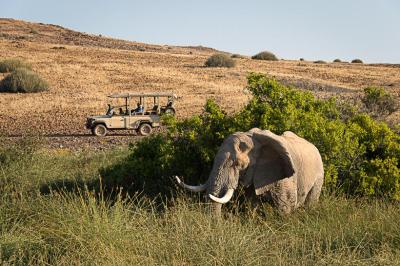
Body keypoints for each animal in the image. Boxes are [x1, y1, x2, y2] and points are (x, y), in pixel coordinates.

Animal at [173, 128, 324, 217]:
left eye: (238, 164)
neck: (253, 139)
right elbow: (252, 205)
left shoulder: (285, 177)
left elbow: (285, 207)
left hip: (319, 174)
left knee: (311, 201)